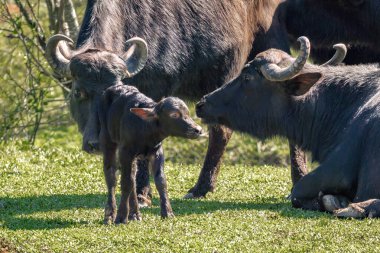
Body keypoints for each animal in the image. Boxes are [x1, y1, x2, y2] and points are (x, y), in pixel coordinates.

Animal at [98, 85, 202, 223]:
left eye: (188, 113)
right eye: (174, 114)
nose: (198, 130)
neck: (146, 130)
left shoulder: (157, 152)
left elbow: (160, 180)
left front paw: (167, 213)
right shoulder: (125, 152)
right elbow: (125, 182)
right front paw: (120, 217)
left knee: (133, 177)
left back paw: (135, 214)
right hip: (108, 141)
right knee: (110, 175)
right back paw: (110, 215)